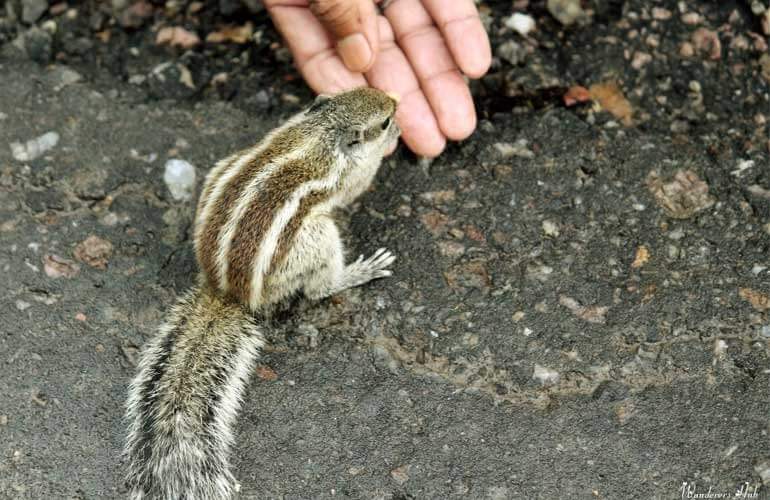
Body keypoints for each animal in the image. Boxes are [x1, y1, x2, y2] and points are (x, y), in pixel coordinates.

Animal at [123, 88, 400, 498]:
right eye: (382, 121)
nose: (397, 104)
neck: (324, 129)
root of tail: (227, 291)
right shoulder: (351, 176)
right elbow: (360, 183)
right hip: (315, 238)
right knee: (319, 287)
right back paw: (357, 272)